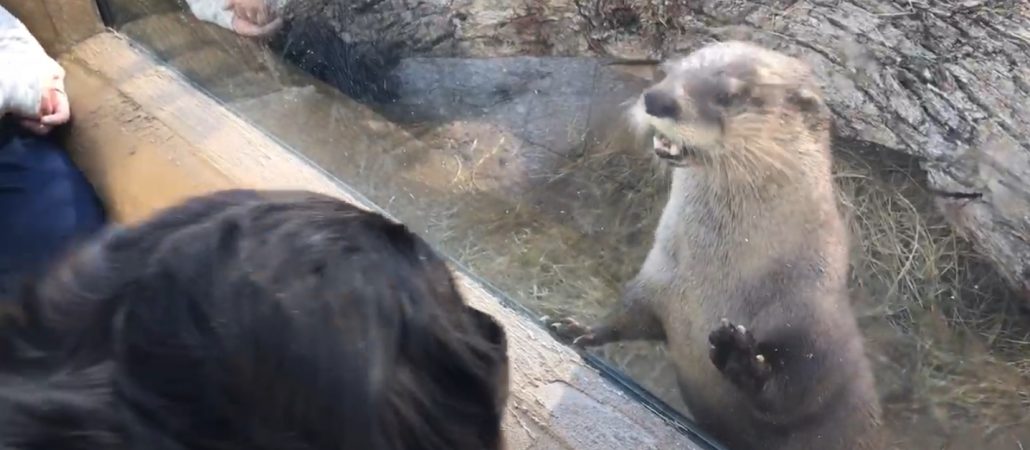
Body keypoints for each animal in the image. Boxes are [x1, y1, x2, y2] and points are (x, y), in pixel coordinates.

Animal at [556, 42, 885, 448]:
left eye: (728, 95)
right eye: (669, 71)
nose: (657, 98)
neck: (718, 281)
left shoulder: (812, 326)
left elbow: (798, 393)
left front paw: (740, 358)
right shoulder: (658, 281)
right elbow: (626, 314)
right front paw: (578, 328)